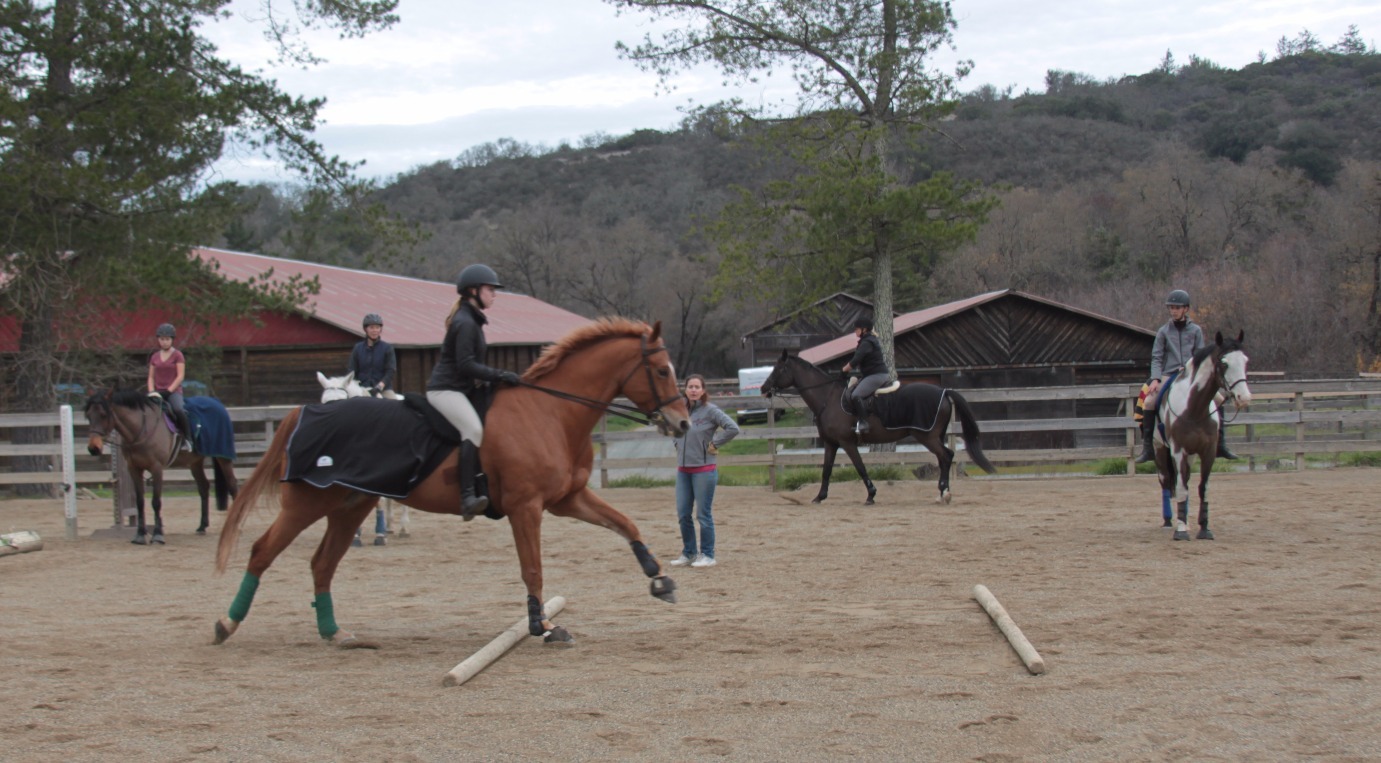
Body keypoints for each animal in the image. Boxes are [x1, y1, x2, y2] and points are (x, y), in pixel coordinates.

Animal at [84, 389, 239, 544]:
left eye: (103, 415)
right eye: (88, 416)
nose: (93, 448)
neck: (141, 429)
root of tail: (218, 404)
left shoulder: (157, 468)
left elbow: (156, 501)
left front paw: (158, 535)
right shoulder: (134, 469)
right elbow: (140, 502)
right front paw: (140, 535)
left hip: (223, 458)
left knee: (232, 484)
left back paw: (236, 525)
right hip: (195, 462)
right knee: (204, 487)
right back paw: (202, 527)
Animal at [213, 318, 691, 647]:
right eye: (662, 371)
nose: (683, 424)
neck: (552, 413)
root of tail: (307, 413)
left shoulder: (568, 498)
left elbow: (625, 523)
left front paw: (659, 579)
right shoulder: (526, 507)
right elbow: (532, 568)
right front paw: (542, 625)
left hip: (351, 507)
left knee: (322, 565)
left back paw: (335, 633)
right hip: (307, 504)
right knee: (263, 552)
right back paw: (226, 623)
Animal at [760, 350, 995, 505]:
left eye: (778, 369)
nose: (763, 388)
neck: (827, 398)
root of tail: (944, 391)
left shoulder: (847, 443)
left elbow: (860, 467)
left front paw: (871, 494)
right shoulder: (831, 444)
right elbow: (826, 470)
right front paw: (819, 496)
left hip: (927, 437)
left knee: (946, 456)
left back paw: (943, 493)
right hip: (934, 436)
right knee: (944, 457)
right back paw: (943, 493)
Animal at [1153, 330, 1251, 541]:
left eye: (1245, 361)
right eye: (1224, 363)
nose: (1244, 398)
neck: (1195, 409)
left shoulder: (1208, 452)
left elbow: (1202, 489)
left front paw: (1204, 528)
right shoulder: (1178, 451)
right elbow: (1181, 488)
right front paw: (1181, 531)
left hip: (1190, 456)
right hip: (1160, 451)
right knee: (1166, 481)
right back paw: (1169, 522)